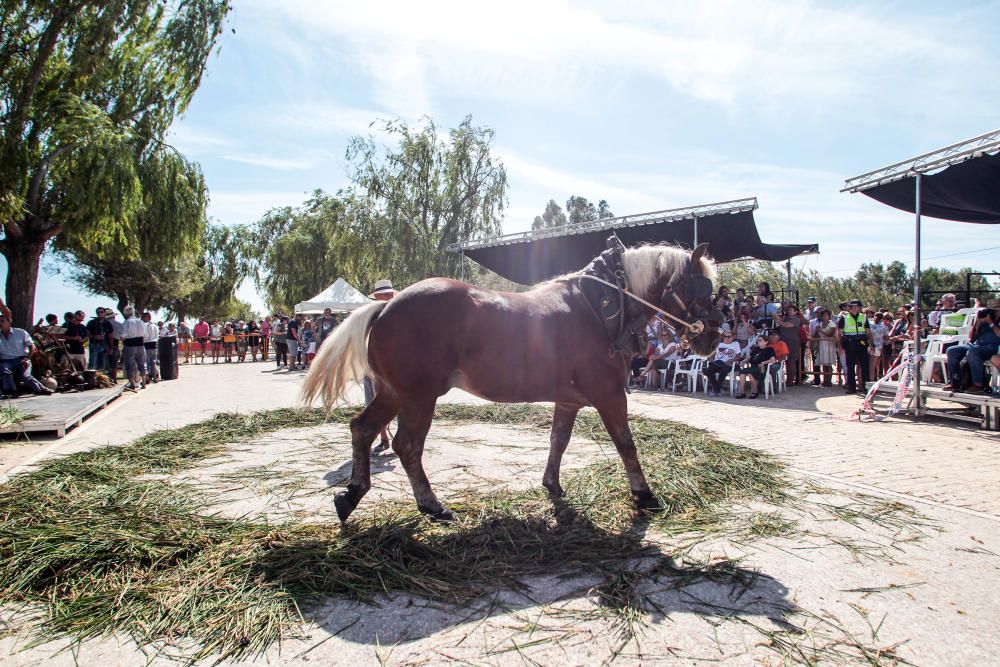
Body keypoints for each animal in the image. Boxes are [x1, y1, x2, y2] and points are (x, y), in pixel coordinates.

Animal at [300, 243, 724, 524]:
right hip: (419, 396)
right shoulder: (609, 395)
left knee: (363, 428)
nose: (714, 337)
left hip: (394, 392)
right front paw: (644, 494)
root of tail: (386, 304)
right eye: (699, 288)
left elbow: (558, 441)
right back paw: (431, 504)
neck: (597, 307)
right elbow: (626, 444)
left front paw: (552, 484)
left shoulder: (569, 400)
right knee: (407, 445)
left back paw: (353, 493)